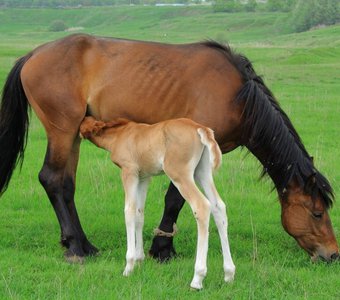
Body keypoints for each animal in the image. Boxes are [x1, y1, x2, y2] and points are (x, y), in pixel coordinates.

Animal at [0, 33, 338, 262]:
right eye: (318, 213)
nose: (332, 254)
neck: (237, 96)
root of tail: (32, 55)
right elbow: (175, 199)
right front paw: (162, 249)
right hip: (63, 130)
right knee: (53, 179)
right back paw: (75, 248)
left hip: (72, 136)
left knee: (66, 184)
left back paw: (83, 244)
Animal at [79, 116, 235, 290]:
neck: (120, 134)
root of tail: (199, 128)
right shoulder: (144, 177)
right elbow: (139, 214)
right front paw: (139, 261)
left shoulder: (129, 172)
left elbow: (129, 211)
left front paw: (129, 266)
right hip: (202, 172)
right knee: (218, 207)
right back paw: (229, 274)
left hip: (179, 172)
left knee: (201, 206)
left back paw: (197, 279)